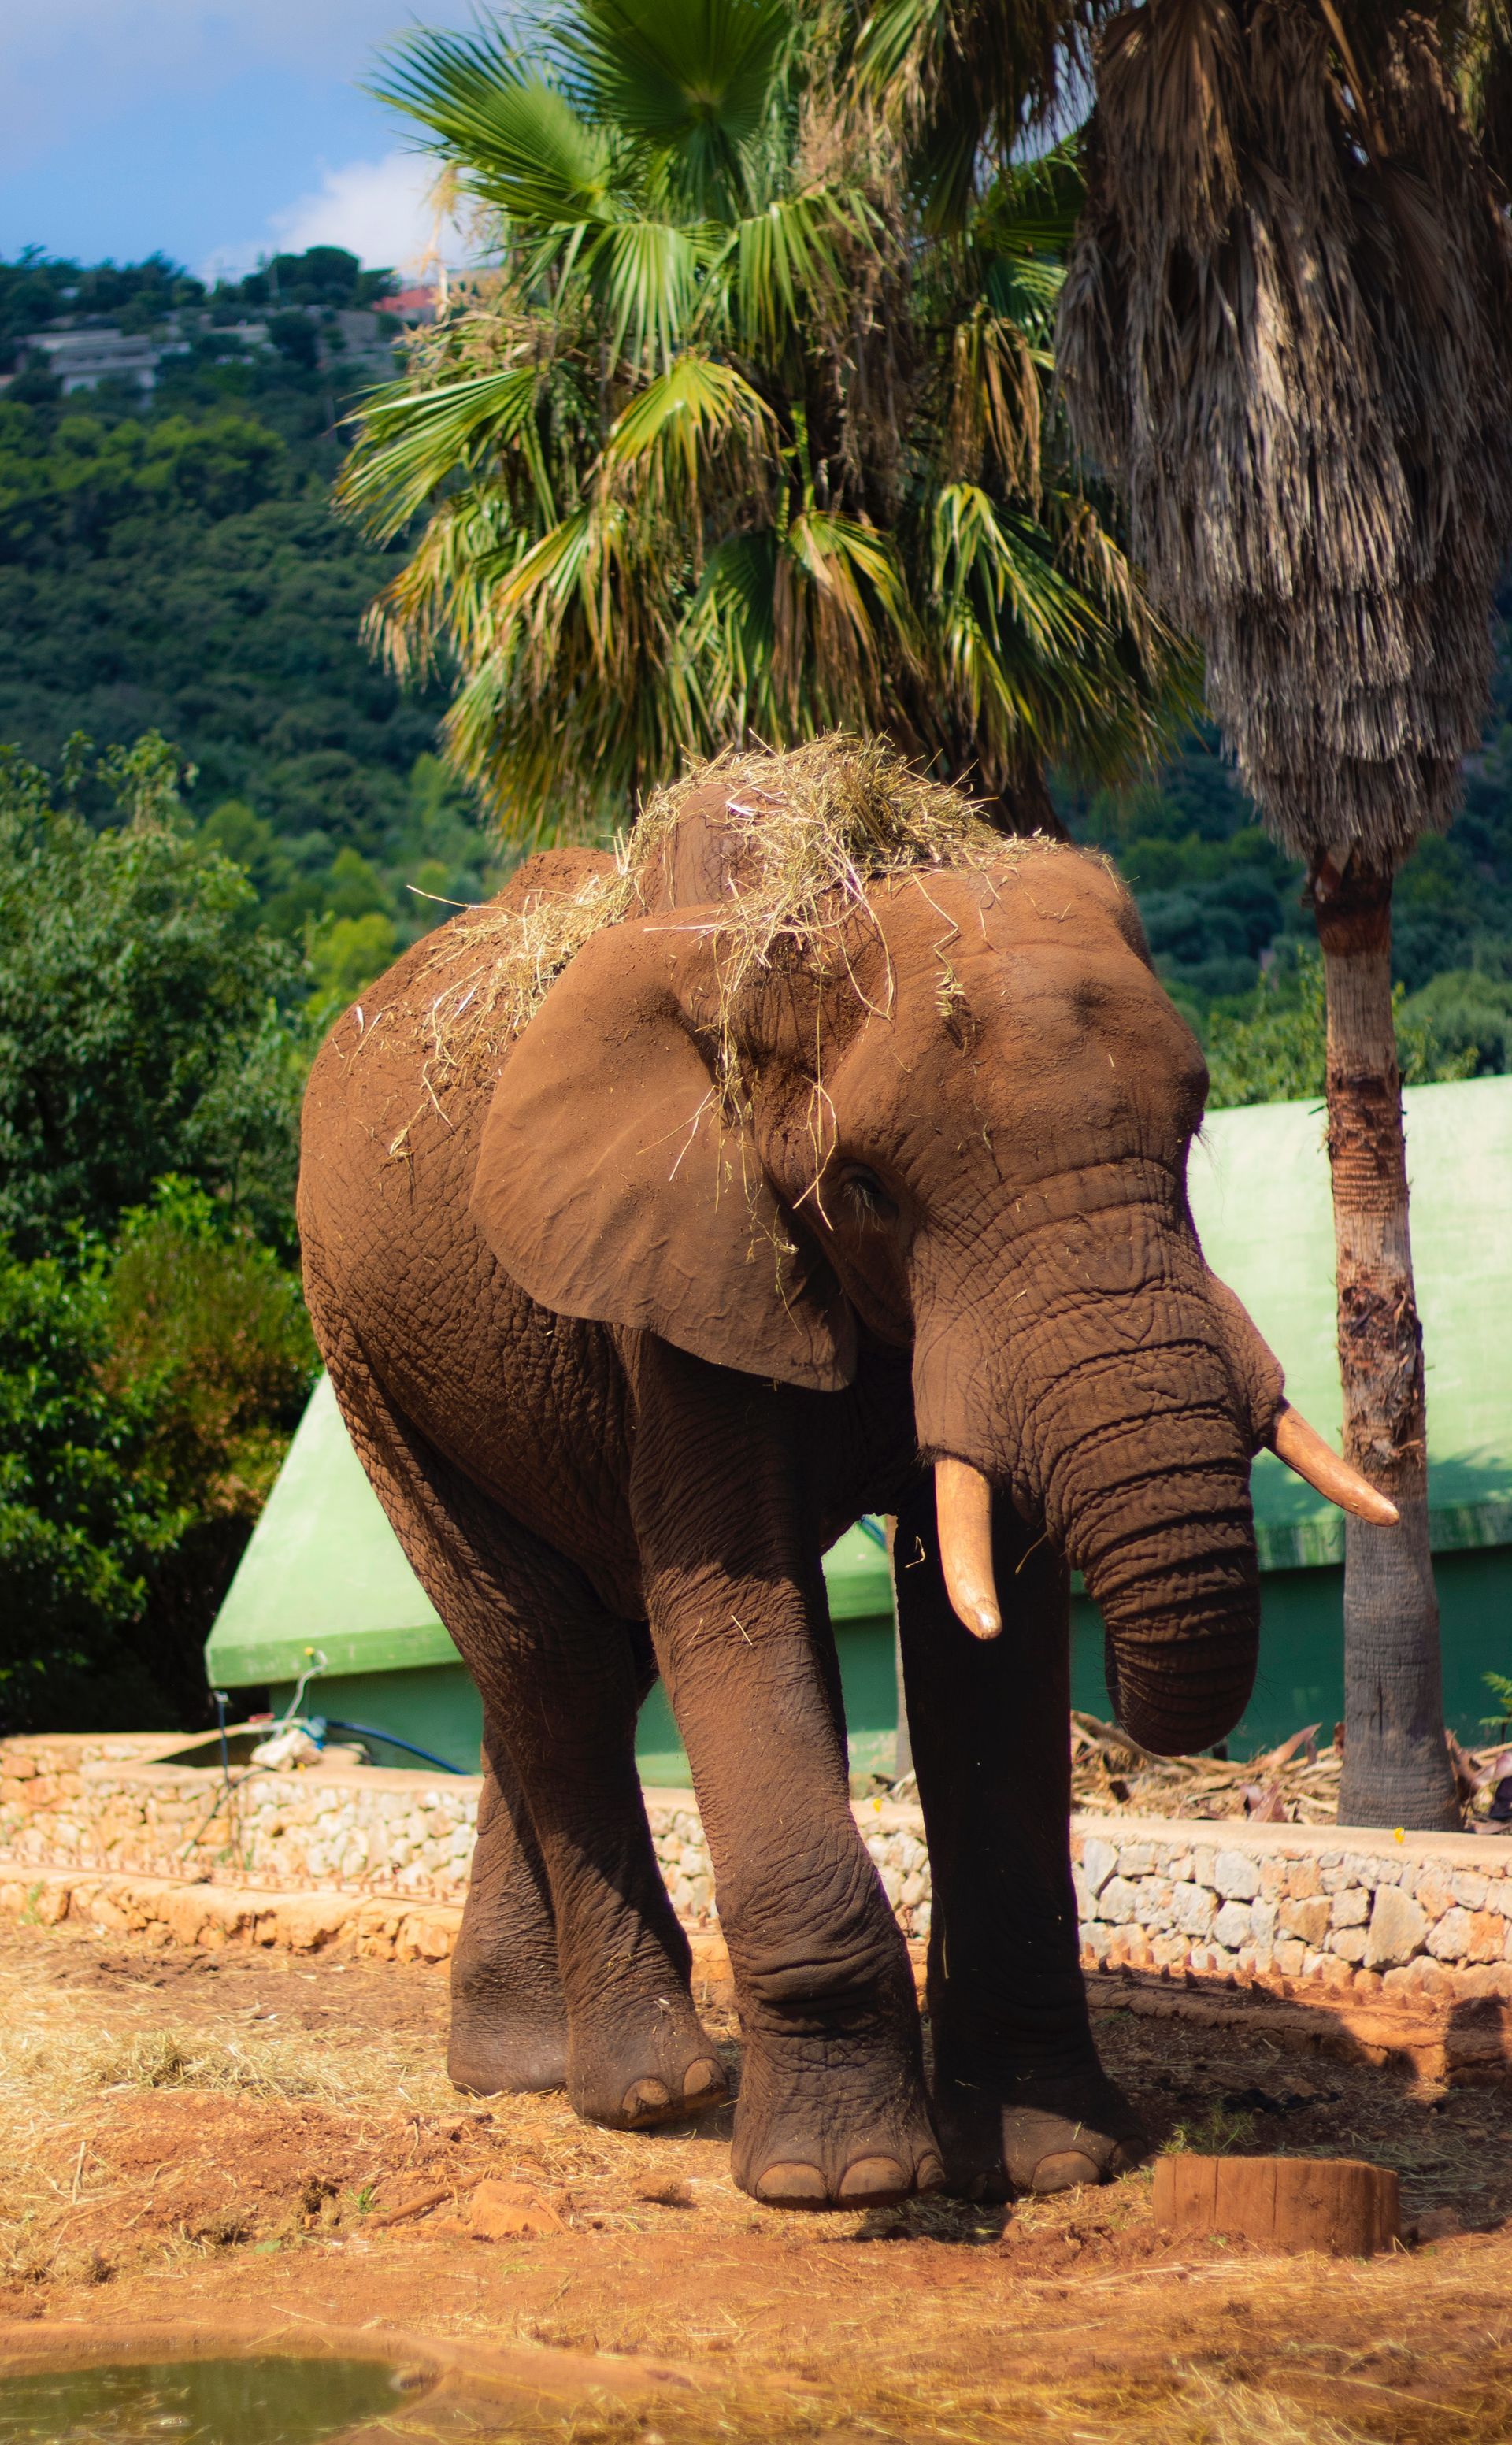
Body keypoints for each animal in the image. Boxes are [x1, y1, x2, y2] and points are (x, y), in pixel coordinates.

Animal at [297, 743, 1389, 2220]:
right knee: (548, 1657)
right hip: (362, 1351)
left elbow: (992, 1642)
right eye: (863, 1185)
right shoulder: (679, 1256)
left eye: (1194, 1126)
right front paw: (849, 2180)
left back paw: (522, 2071)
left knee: (573, 1661)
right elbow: (741, 1606)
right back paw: (649, 2093)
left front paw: (1051, 2163)